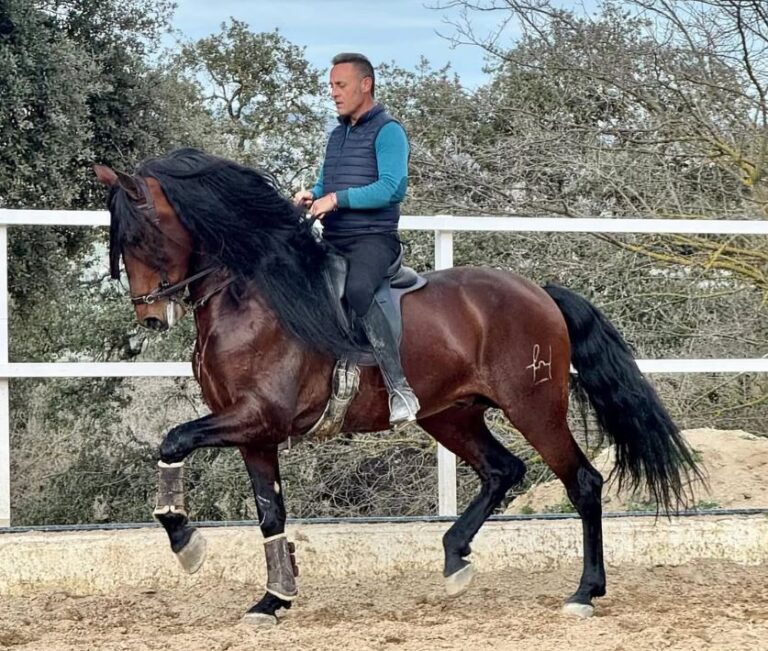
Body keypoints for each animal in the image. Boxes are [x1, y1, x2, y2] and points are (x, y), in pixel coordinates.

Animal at [94, 148, 700, 625]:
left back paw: (583, 593)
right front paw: (273, 600)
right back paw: (455, 559)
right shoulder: (255, 435)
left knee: (582, 482)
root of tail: (539, 293)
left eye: (141, 235)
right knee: (503, 471)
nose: (151, 318)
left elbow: (172, 440)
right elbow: (271, 514)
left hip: (533, 408)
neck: (251, 298)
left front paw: (187, 544)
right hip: (450, 414)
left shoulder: (257, 416)